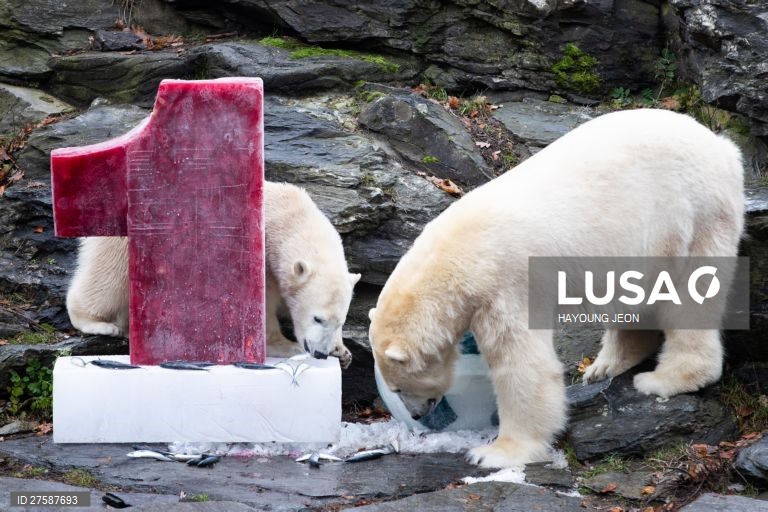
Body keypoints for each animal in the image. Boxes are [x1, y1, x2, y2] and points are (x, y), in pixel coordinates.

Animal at [67, 181, 361, 367]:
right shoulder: (259, 260)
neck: (287, 216)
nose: (320, 354)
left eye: (340, 321)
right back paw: (98, 323)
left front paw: (343, 352)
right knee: (107, 277)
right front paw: (287, 346)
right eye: (317, 318)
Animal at [368, 108, 745, 468]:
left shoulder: (506, 283)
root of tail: (723, 148)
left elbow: (522, 363)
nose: (417, 413)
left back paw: (666, 378)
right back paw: (605, 366)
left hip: (695, 213)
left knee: (690, 294)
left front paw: (496, 452)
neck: (458, 254)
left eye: (398, 386)